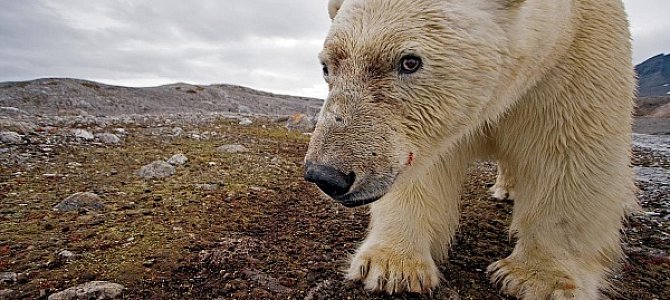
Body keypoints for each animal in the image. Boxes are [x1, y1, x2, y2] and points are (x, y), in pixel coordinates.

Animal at [308, 0, 636, 298]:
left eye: (410, 61)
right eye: (326, 67)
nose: (326, 175)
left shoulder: (575, 55)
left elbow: (570, 154)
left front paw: (538, 280)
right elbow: (426, 168)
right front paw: (391, 266)